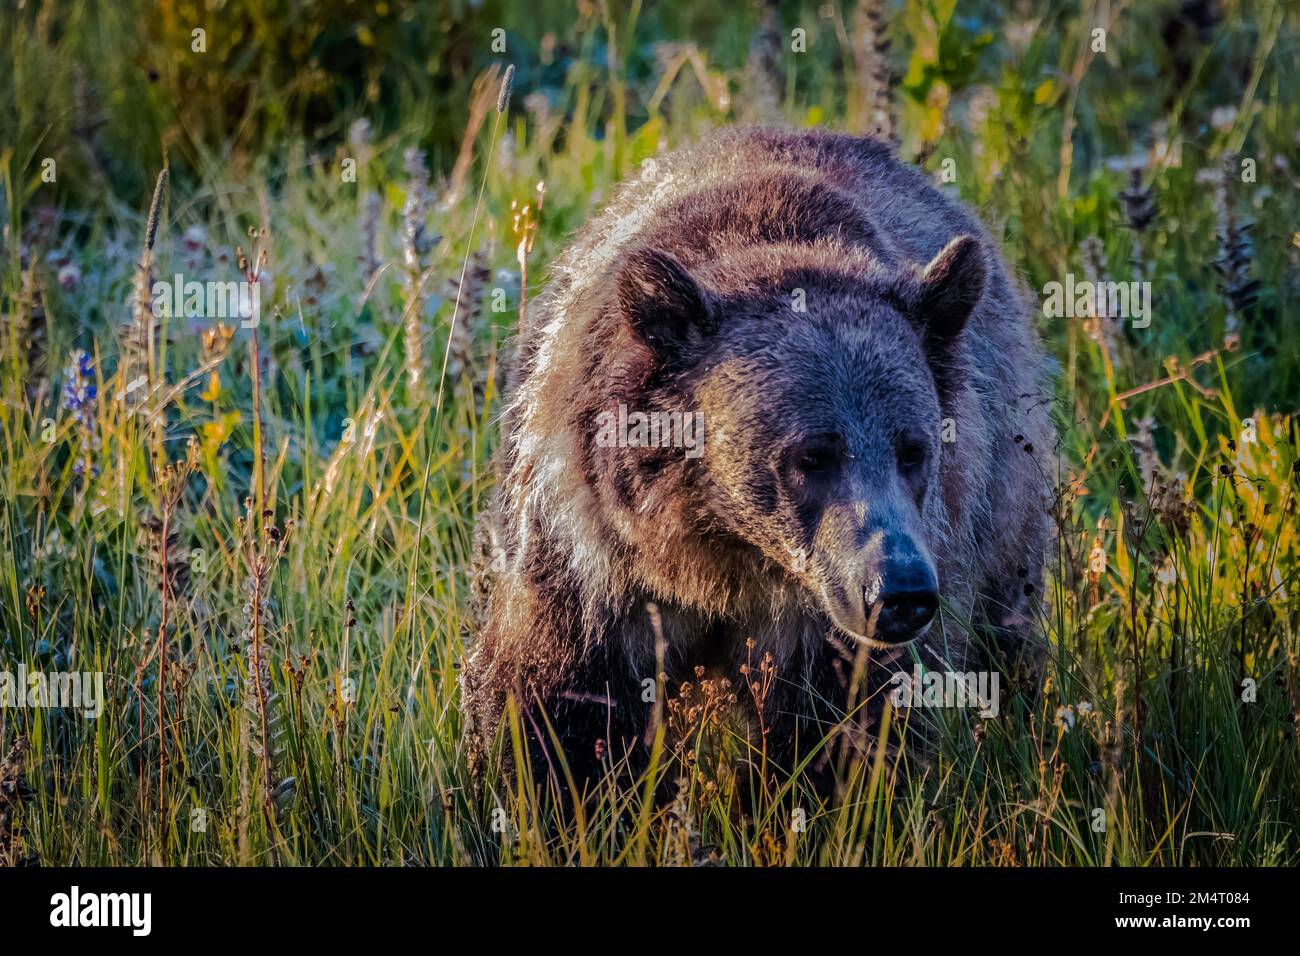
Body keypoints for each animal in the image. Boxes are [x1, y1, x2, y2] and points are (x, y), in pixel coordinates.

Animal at [462, 128, 1050, 790]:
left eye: (912, 450)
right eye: (812, 456)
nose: (900, 589)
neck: (720, 552)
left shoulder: (823, 623)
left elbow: (836, 729)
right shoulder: (593, 562)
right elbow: (562, 705)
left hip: (1004, 510)